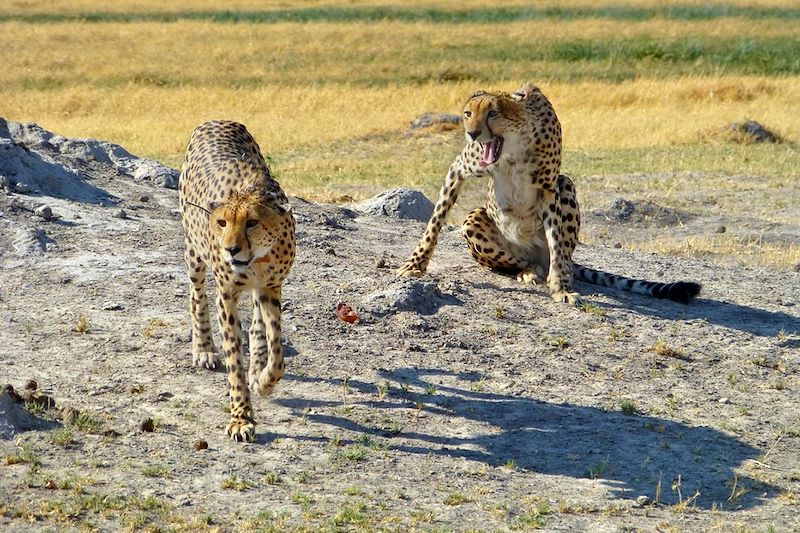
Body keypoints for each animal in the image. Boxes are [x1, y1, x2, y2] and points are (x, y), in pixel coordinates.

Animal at [178, 120, 296, 440]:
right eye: (222, 222)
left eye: (252, 222)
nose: (230, 249)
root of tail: (215, 120)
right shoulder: (226, 294)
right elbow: (233, 359)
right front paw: (241, 418)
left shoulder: (271, 286)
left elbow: (276, 353)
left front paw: (264, 380)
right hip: (193, 252)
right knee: (196, 295)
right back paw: (204, 349)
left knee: (257, 323)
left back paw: (256, 366)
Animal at [398, 83, 700, 306]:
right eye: (467, 114)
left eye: (493, 113)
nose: (472, 134)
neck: (514, 148)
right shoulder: (459, 169)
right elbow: (435, 222)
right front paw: (415, 264)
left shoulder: (550, 188)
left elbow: (557, 243)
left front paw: (560, 288)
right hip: (475, 220)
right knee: (519, 260)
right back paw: (529, 270)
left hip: (566, 185)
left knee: (558, 255)